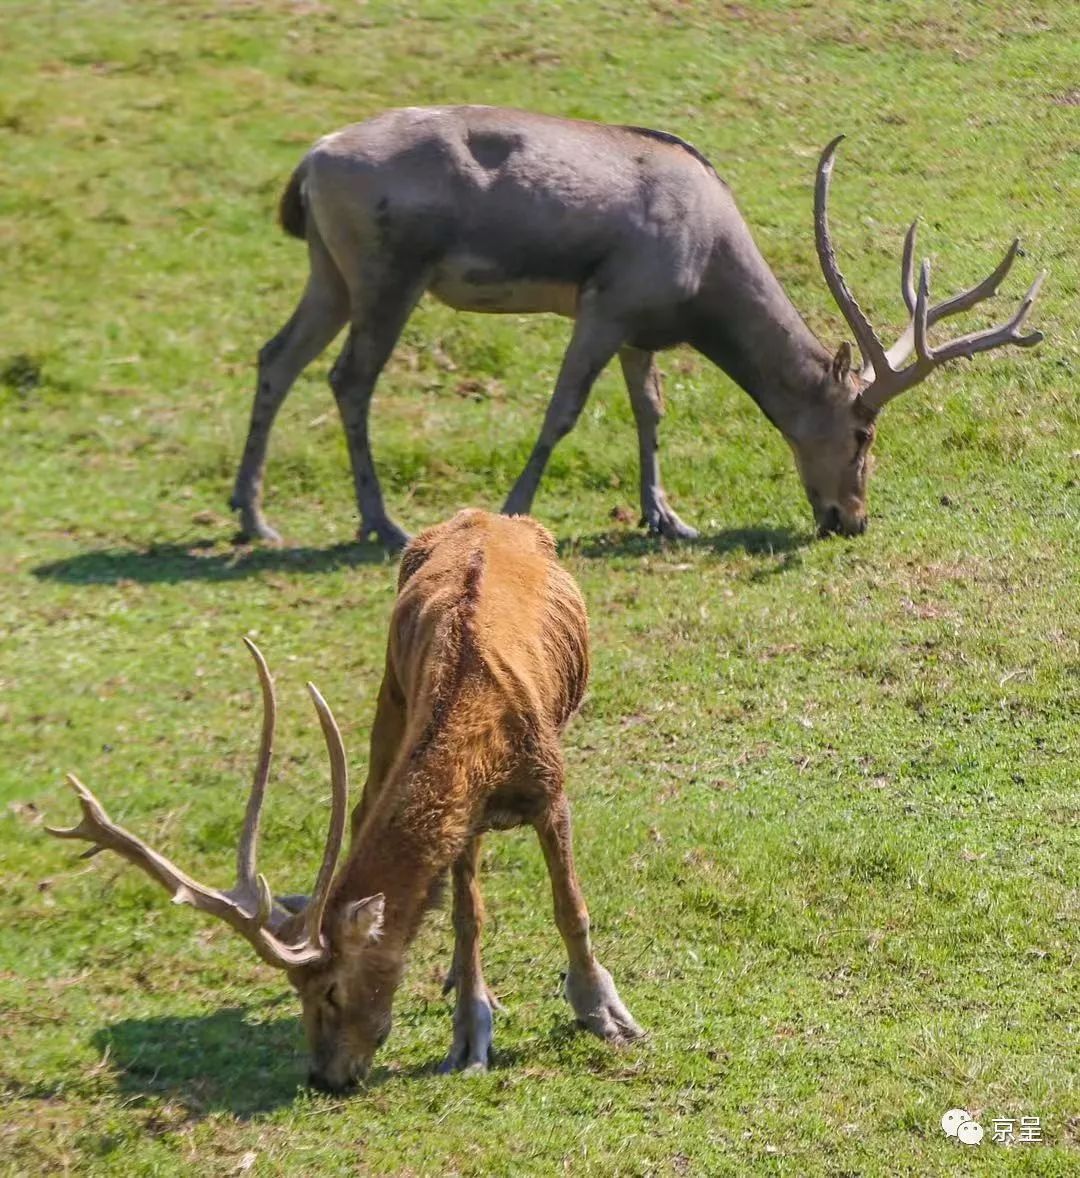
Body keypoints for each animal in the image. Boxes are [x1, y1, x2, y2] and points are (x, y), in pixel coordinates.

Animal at [48, 511, 640, 1088]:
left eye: (331, 989)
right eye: (297, 992)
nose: (323, 1076)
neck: (482, 728)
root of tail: (488, 514)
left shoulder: (548, 785)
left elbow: (570, 906)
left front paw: (606, 1015)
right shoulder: (463, 809)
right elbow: (467, 912)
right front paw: (470, 1035)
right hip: (390, 695)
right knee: (369, 809)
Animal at [229, 103, 1045, 544]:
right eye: (863, 433)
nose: (851, 519)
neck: (705, 272)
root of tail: (313, 159)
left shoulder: (642, 328)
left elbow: (649, 410)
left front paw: (667, 517)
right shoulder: (609, 302)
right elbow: (563, 411)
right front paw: (514, 511)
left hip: (330, 271)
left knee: (277, 356)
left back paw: (253, 516)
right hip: (388, 272)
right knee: (349, 377)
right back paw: (382, 522)